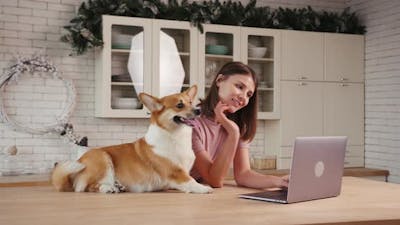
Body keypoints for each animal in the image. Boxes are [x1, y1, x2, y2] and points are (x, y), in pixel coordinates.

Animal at [51, 85, 212, 194]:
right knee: (87, 187)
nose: (199, 110)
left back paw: (118, 186)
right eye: (179, 105)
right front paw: (204, 188)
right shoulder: (176, 172)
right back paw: (108, 188)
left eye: (191, 102)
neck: (174, 136)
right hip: (102, 158)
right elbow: (191, 181)